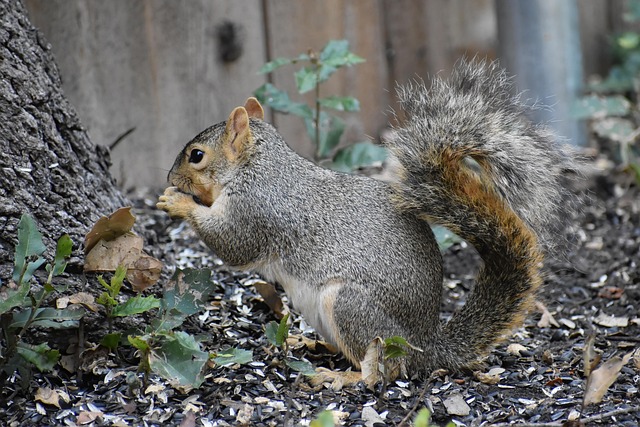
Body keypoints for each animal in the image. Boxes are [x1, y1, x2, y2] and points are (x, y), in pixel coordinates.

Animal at [157, 60, 574, 376]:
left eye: (196, 155)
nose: (169, 178)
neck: (257, 166)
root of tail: (425, 345)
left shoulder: (256, 209)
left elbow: (233, 245)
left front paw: (177, 202)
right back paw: (309, 342)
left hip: (351, 307)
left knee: (380, 372)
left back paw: (339, 379)